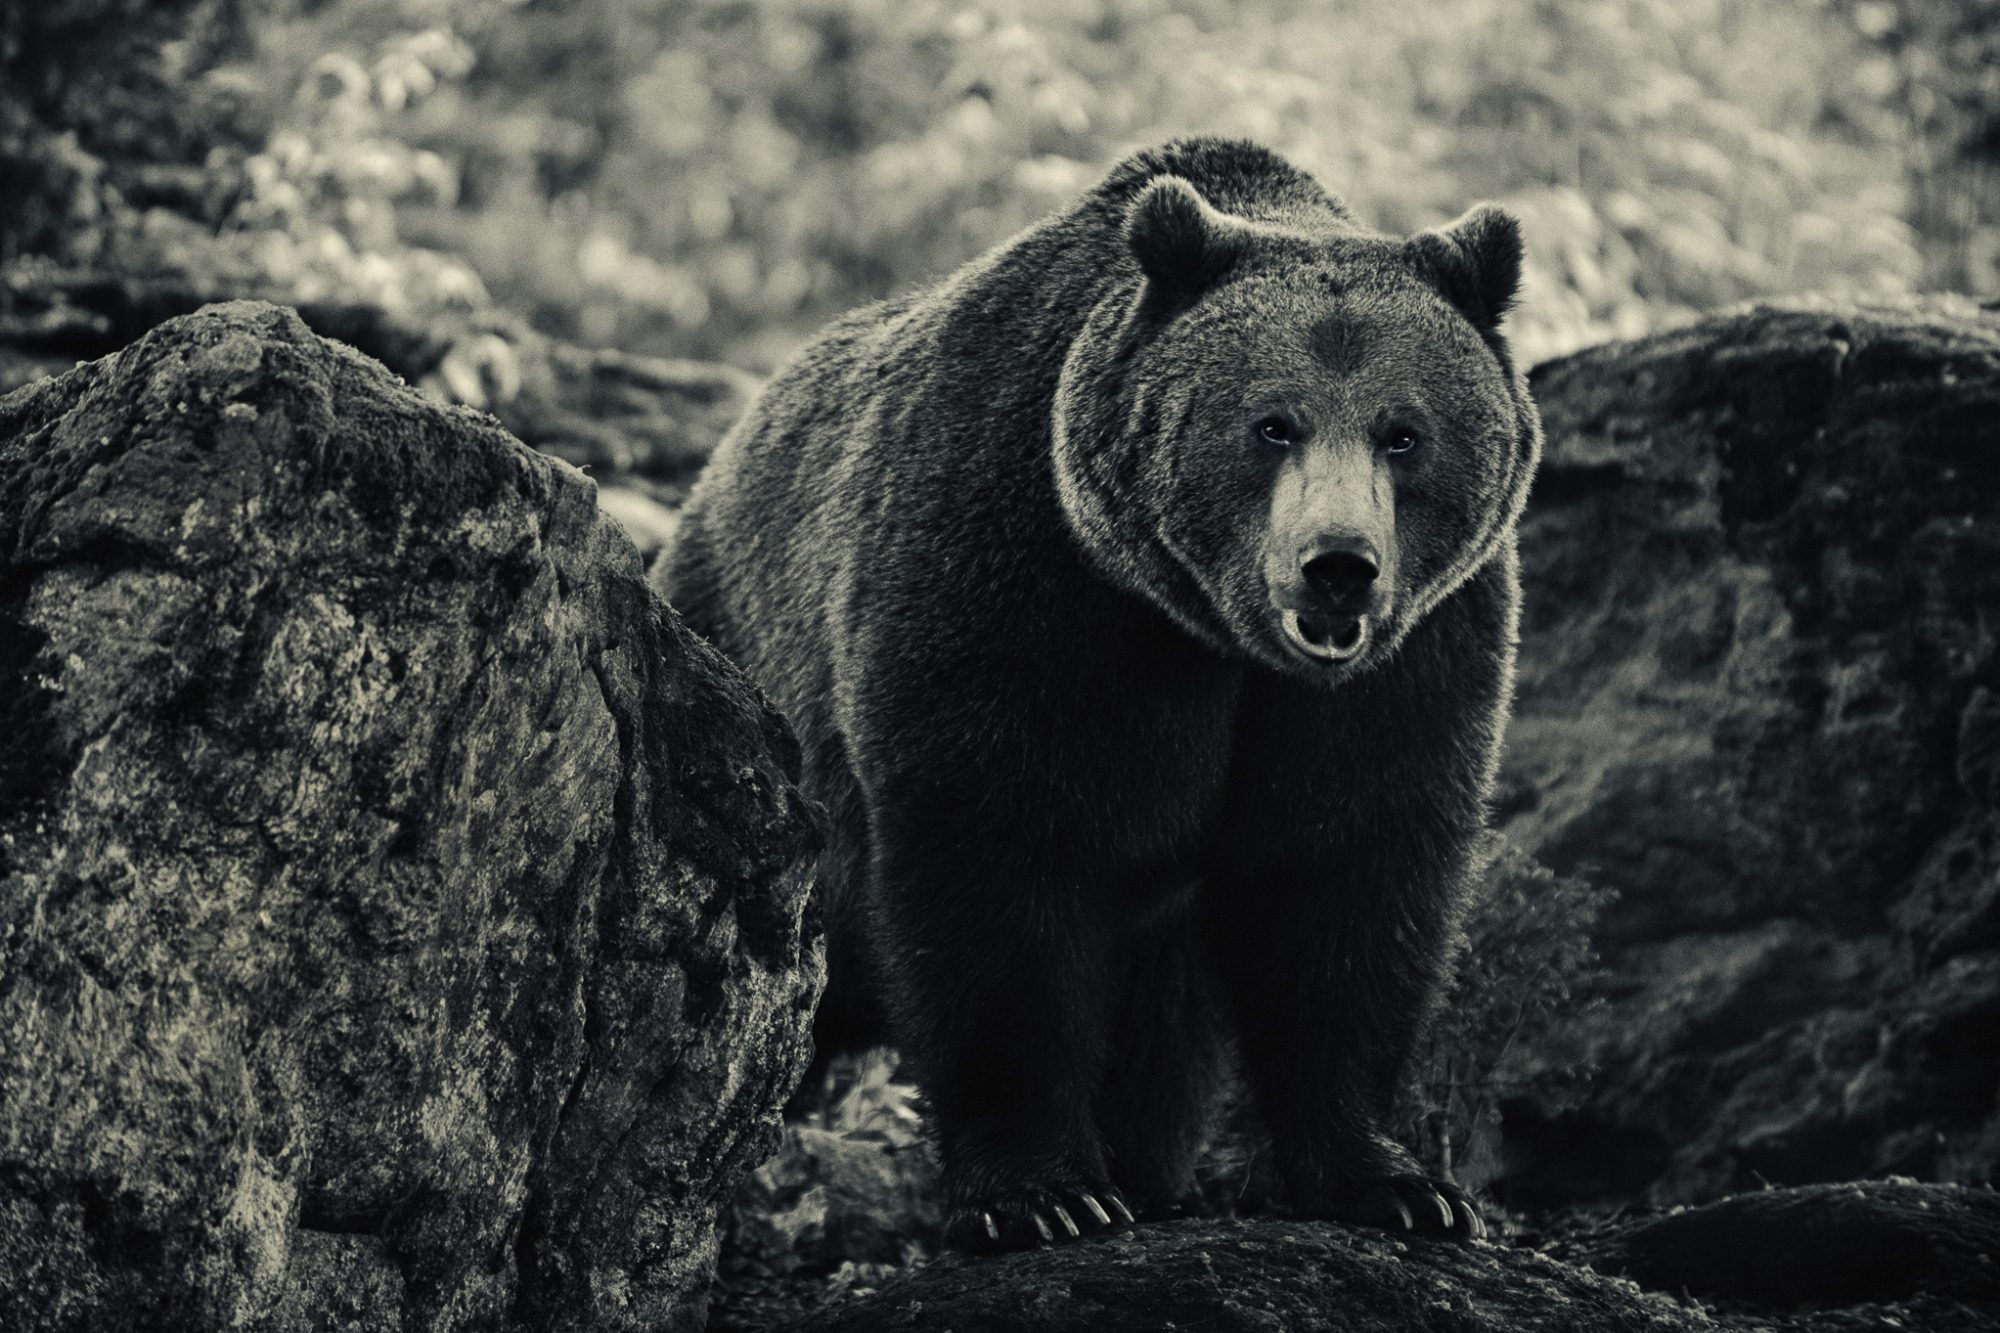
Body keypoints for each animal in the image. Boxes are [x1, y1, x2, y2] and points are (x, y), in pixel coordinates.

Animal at [656, 136, 1540, 1252]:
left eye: (1404, 432)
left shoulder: (1406, 667)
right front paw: (1044, 1194)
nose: (1337, 566)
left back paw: (1153, 1169)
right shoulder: (1028, 593)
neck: (1212, 637)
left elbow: (1347, 881)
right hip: (740, 682)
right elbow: (1001, 872)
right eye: (1271, 424)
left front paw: (1397, 1182)